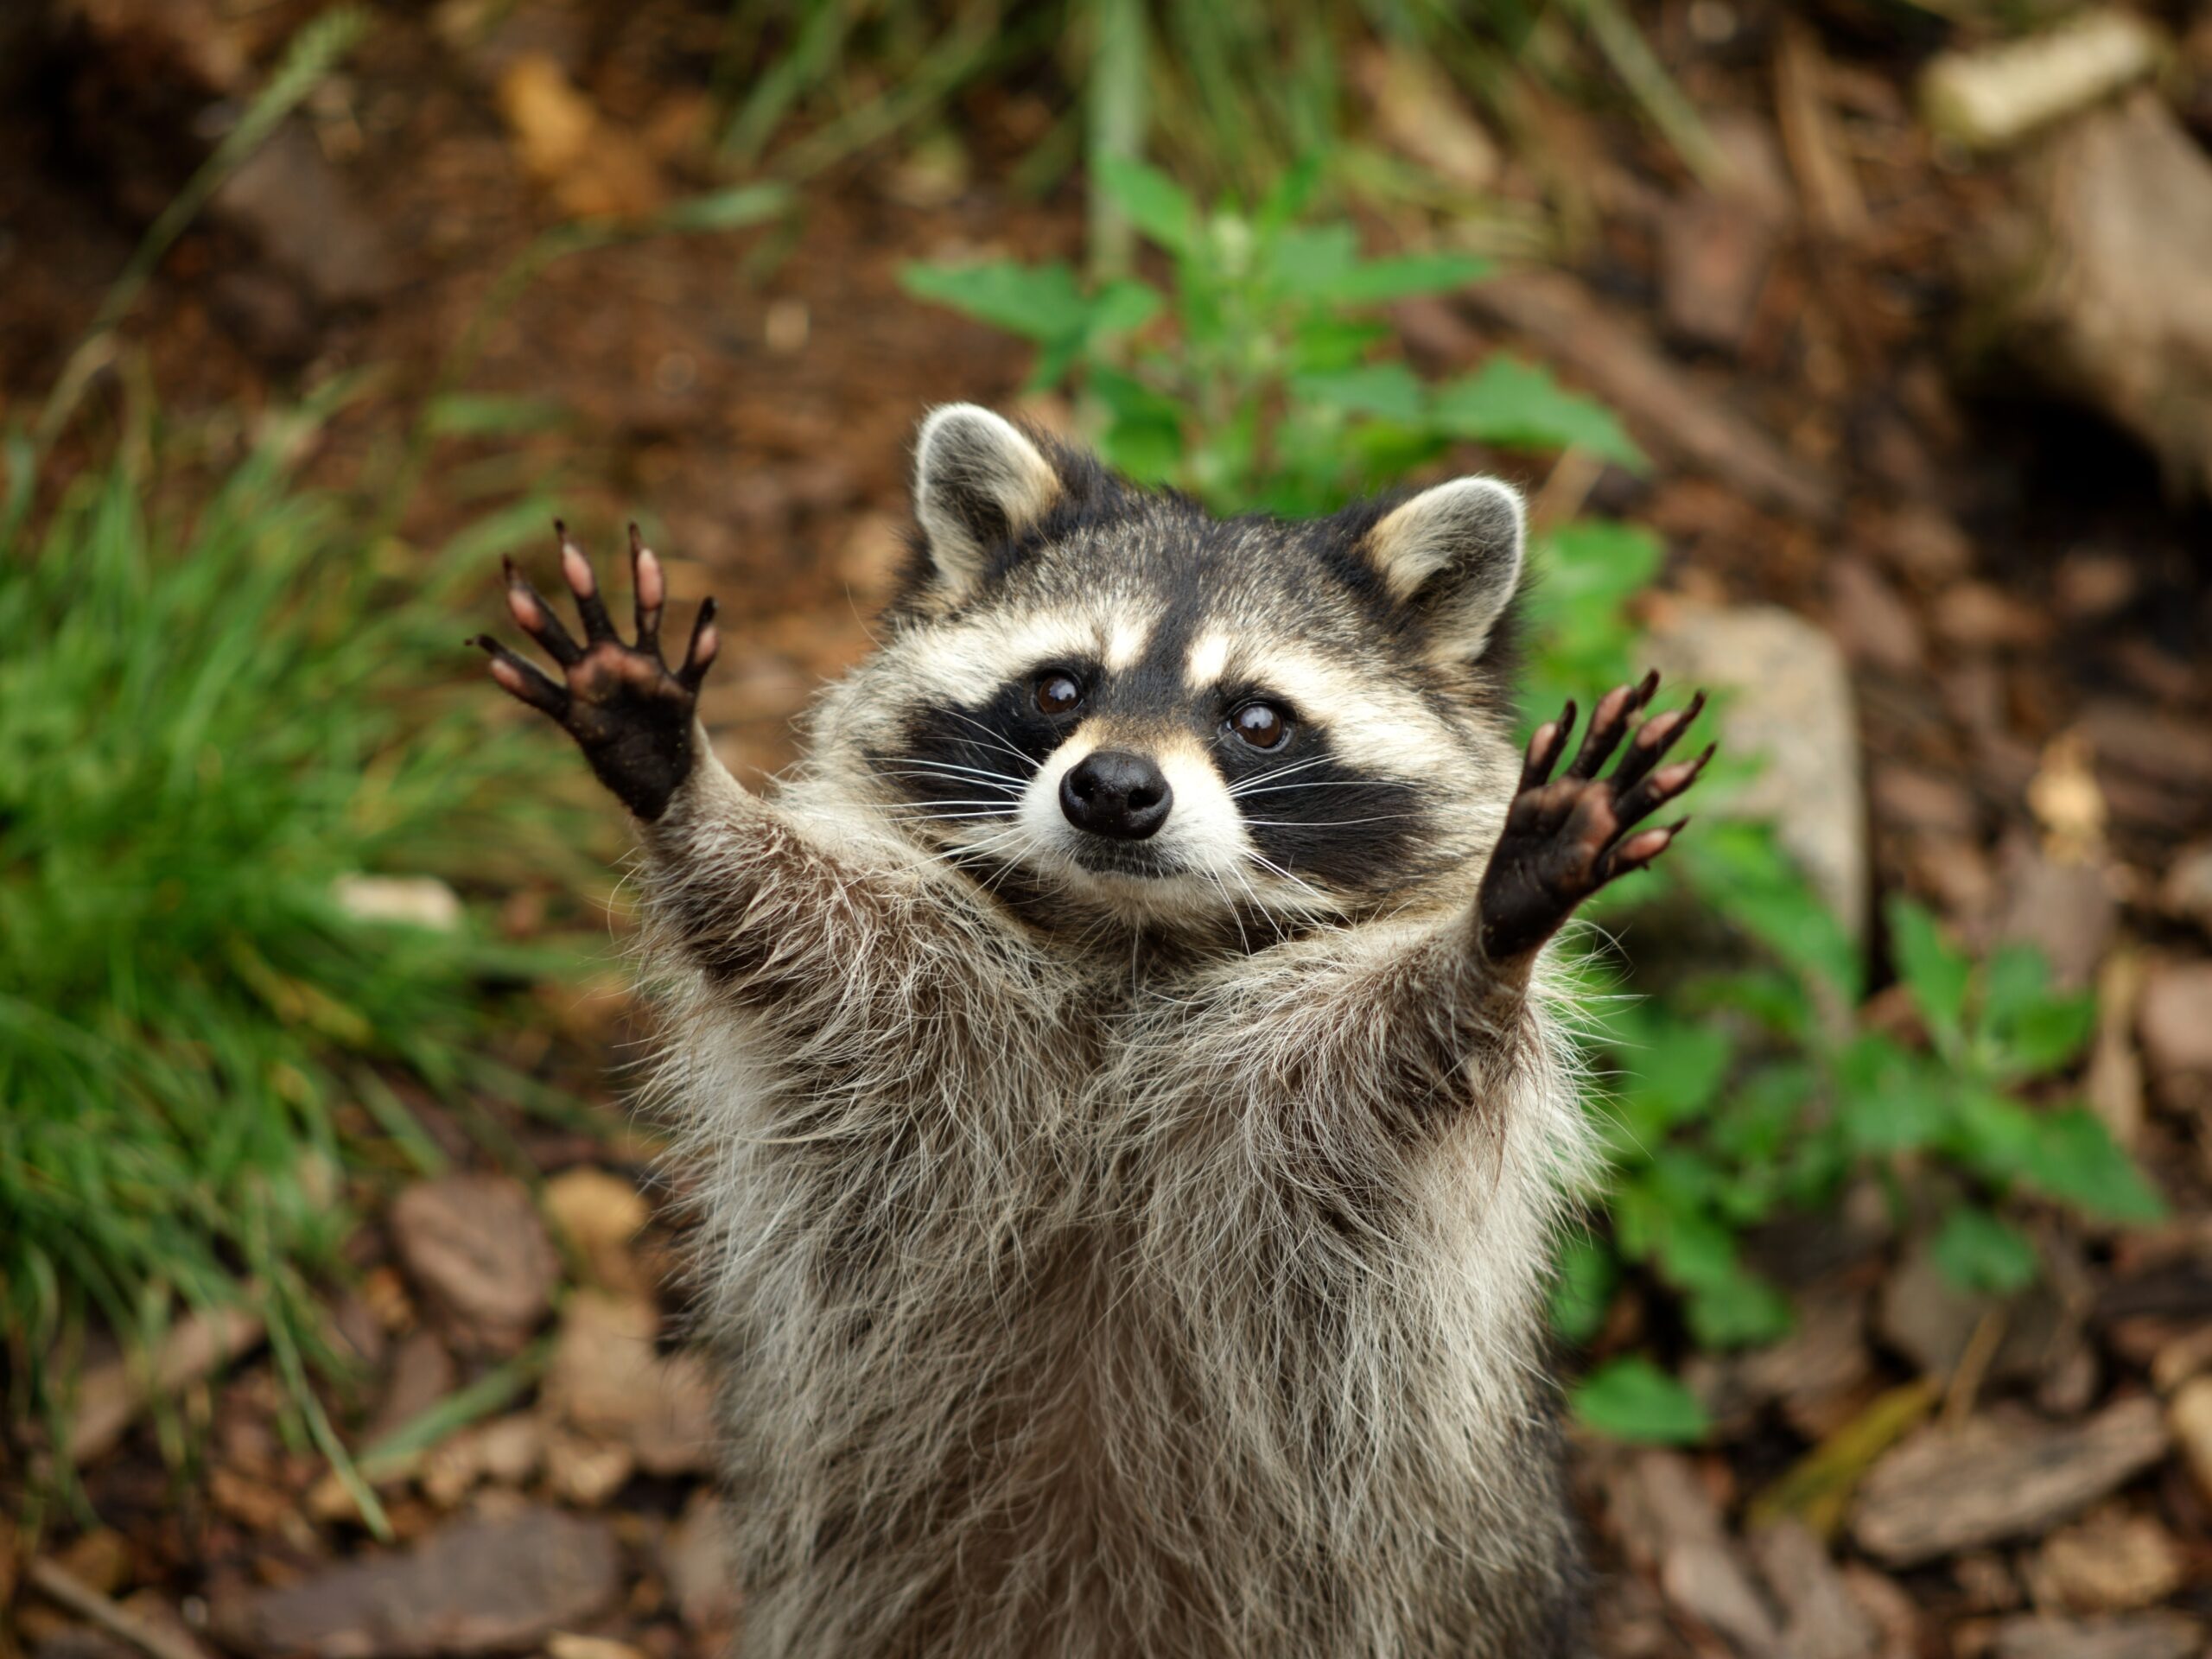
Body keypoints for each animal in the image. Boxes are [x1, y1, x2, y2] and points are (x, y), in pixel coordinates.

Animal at [477, 405, 1711, 1659]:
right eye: (1061, 689)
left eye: (1256, 719)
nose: (1114, 789)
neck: (1131, 940)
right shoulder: (916, 1001)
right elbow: (791, 928)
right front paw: (684, 787)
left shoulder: (1308, 1102)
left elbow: (1404, 1052)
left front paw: (1492, 937)